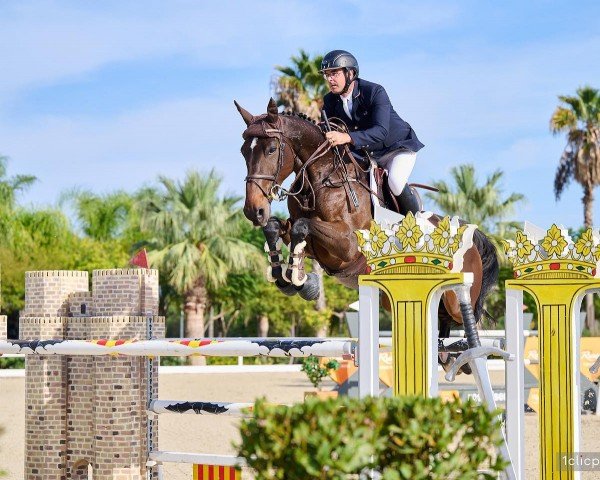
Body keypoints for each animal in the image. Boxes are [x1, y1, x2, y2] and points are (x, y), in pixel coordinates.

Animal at [237, 99, 500, 336]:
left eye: (271, 149)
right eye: (243, 152)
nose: (253, 210)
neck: (320, 181)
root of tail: (472, 239)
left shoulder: (348, 246)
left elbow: (302, 226)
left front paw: (302, 281)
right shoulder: (315, 245)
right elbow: (278, 228)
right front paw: (289, 279)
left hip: (455, 299)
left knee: (470, 316)